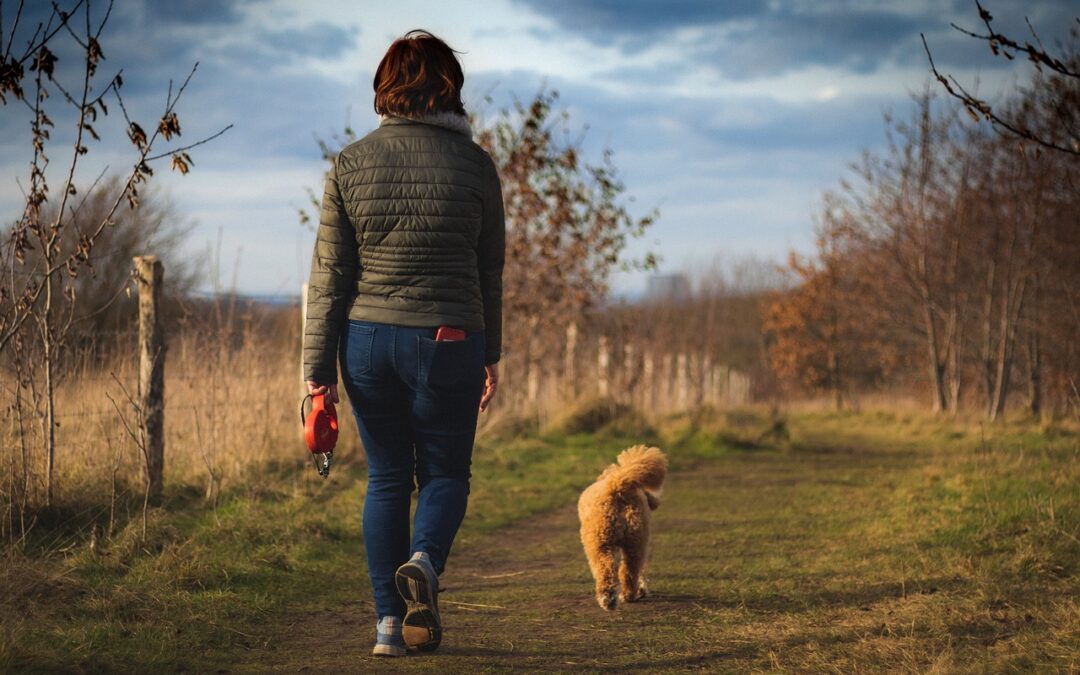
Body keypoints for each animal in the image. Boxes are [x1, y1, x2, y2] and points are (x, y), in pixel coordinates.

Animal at [574, 444, 665, 609]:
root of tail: (617, 486)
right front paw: (642, 590)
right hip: (636, 540)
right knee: (630, 569)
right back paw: (629, 595)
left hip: (599, 542)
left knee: (605, 570)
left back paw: (607, 598)